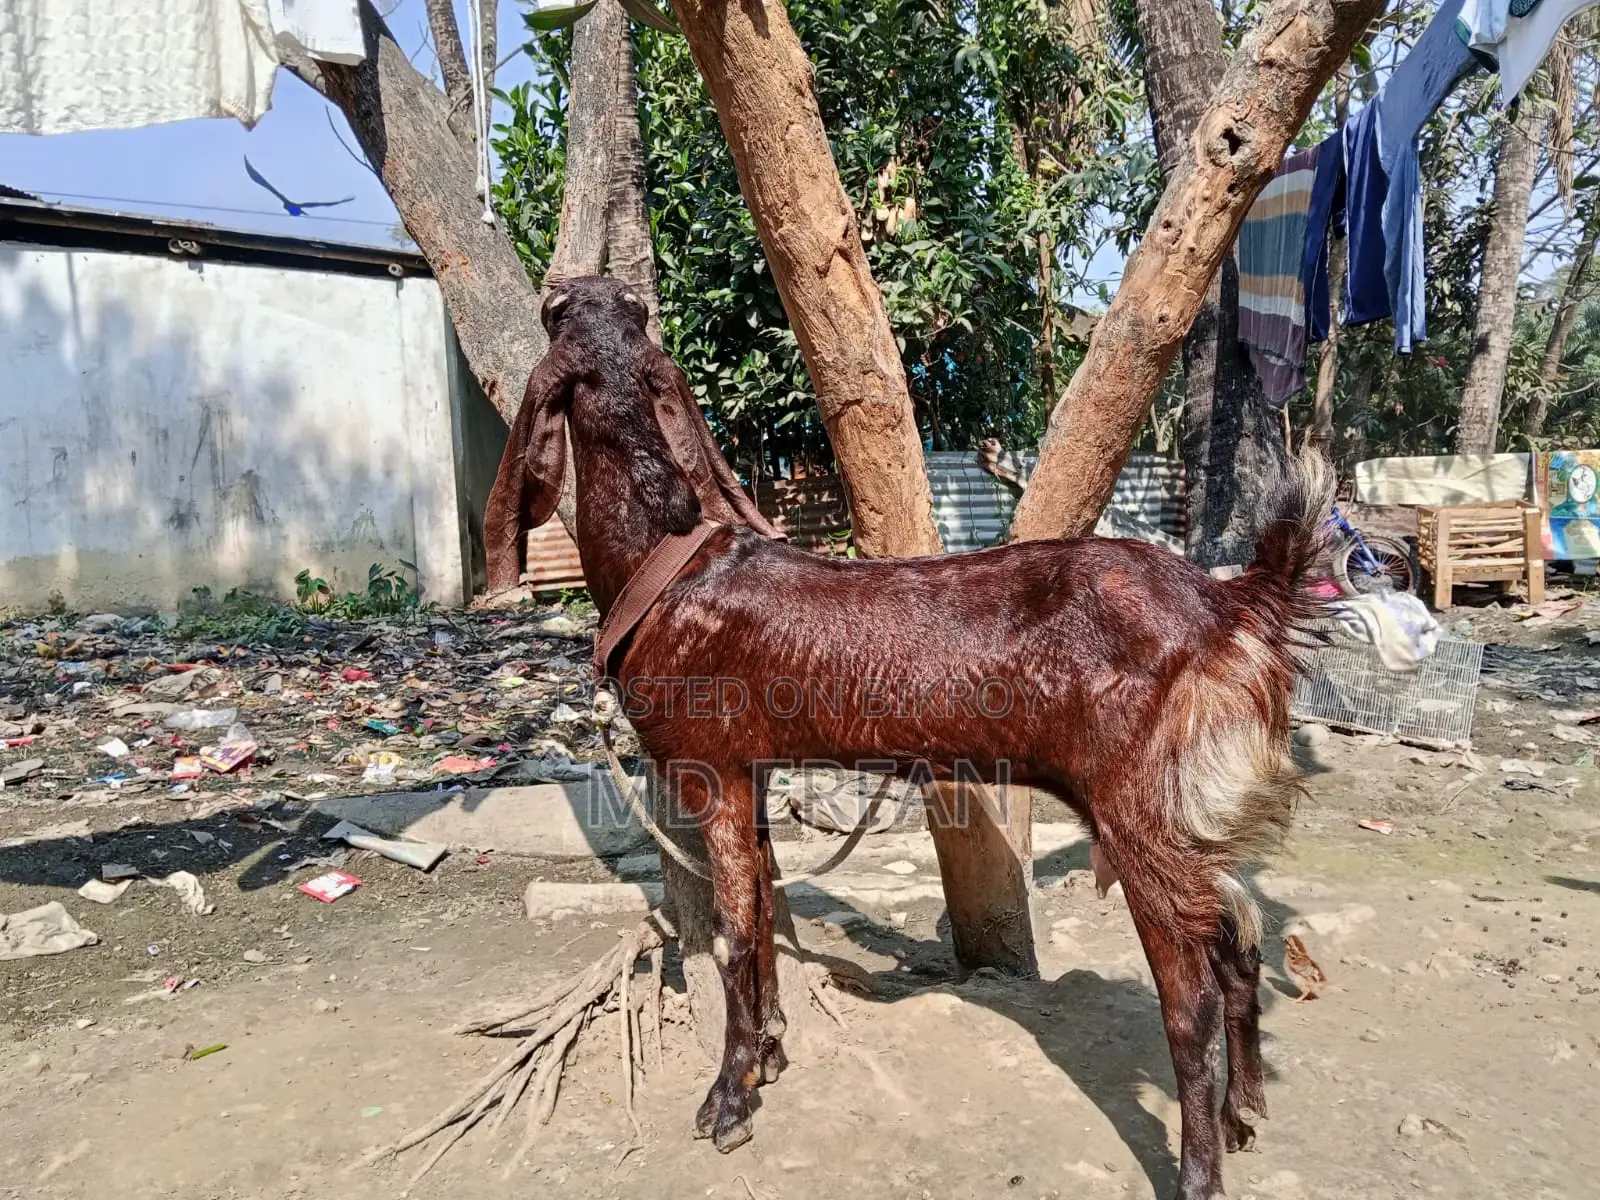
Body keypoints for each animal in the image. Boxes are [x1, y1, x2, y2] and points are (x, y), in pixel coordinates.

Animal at [484, 277, 1333, 1200]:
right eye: (591, 312)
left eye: (562, 314)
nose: (569, 286)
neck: (665, 565)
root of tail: (1230, 606)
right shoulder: (755, 768)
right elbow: (768, 902)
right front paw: (771, 1052)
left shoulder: (711, 766)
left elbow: (733, 930)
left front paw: (729, 1099)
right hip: (1190, 811)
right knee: (1239, 942)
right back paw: (1244, 1114)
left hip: (1138, 807)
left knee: (1192, 1000)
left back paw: (1199, 1173)